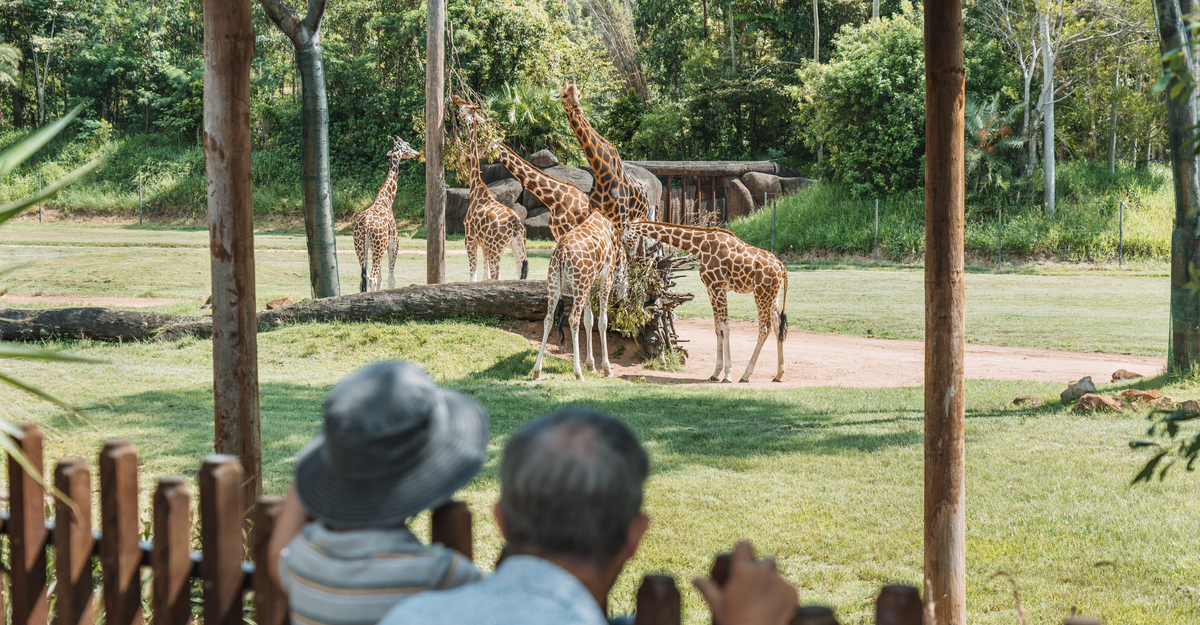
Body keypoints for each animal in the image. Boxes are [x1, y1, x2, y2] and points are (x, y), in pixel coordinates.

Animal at [353, 136, 421, 292]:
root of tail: (365, 225)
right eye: (408, 144)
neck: (386, 200)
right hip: (378, 247)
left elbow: (380, 280)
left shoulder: (376, 248)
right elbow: (391, 280)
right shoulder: (393, 244)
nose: (418, 153)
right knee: (371, 278)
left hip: (361, 247)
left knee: (365, 277)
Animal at [453, 95, 528, 282]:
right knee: (519, 276)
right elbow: (484, 278)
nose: (455, 97)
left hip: (497, 248)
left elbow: (473, 278)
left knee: (497, 277)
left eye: (465, 105)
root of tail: (516, 228)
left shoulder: (470, 239)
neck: (476, 190)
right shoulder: (484, 245)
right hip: (518, 248)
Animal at [531, 211, 629, 380]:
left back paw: (537, 370)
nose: (625, 297)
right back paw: (578, 373)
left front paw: (591, 366)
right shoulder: (606, 279)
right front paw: (607, 369)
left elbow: (588, 320)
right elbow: (602, 321)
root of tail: (562, 251)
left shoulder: (590, 284)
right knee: (573, 319)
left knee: (548, 319)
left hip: (554, 281)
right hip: (579, 283)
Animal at [627, 221, 789, 383]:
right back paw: (779, 374)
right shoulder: (711, 289)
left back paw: (745, 375)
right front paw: (716, 373)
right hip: (773, 295)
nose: (630, 256)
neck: (700, 245)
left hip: (761, 293)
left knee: (765, 328)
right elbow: (718, 329)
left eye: (626, 235)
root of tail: (781, 266)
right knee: (777, 326)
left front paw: (728, 375)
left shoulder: (719, 287)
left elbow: (726, 328)